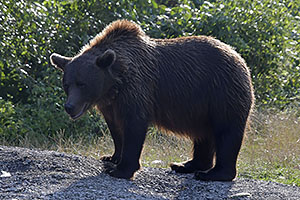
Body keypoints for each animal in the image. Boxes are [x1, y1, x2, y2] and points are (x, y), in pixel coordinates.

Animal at [49, 19, 253, 181]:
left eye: (82, 84)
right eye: (67, 84)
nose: (69, 106)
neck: (114, 84)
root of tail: (238, 56)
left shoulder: (137, 89)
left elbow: (134, 126)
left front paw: (120, 170)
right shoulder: (111, 104)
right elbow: (116, 129)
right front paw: (111, 157)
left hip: (222, 92)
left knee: (226, 131)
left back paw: (213, 173)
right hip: (202, 107)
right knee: (204, 135)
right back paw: (186, 165)